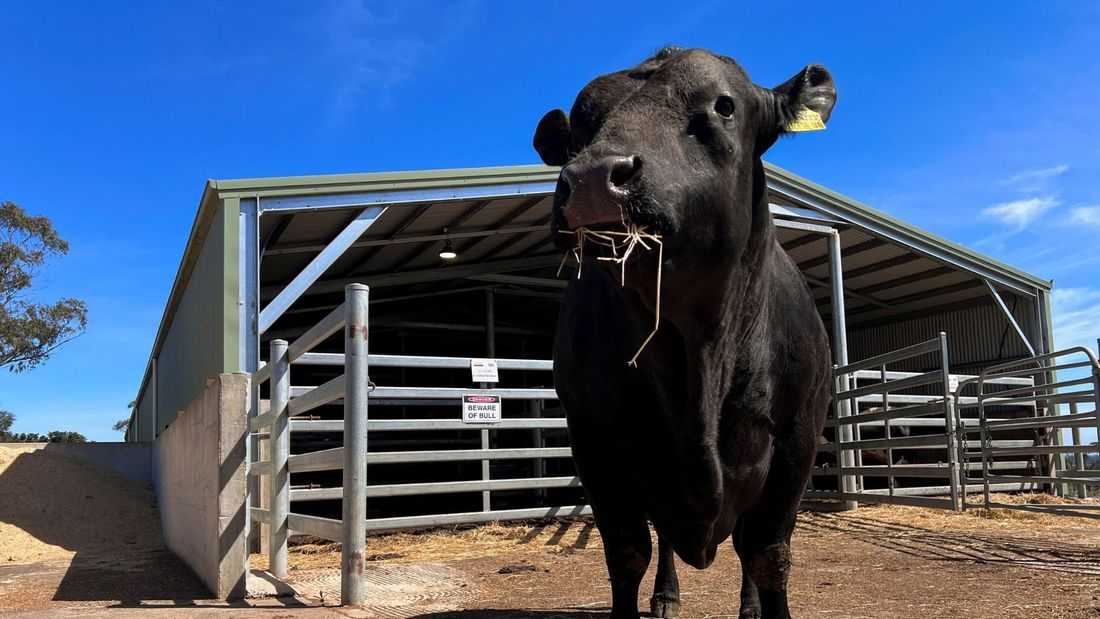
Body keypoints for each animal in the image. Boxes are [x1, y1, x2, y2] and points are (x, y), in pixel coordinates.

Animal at [531, 47, 836, 619]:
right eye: (581, 125)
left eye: (724, 106)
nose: (593, 177)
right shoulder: (595, 441)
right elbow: (627, 554)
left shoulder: (797, 439)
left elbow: (768, 556)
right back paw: (667, 596)